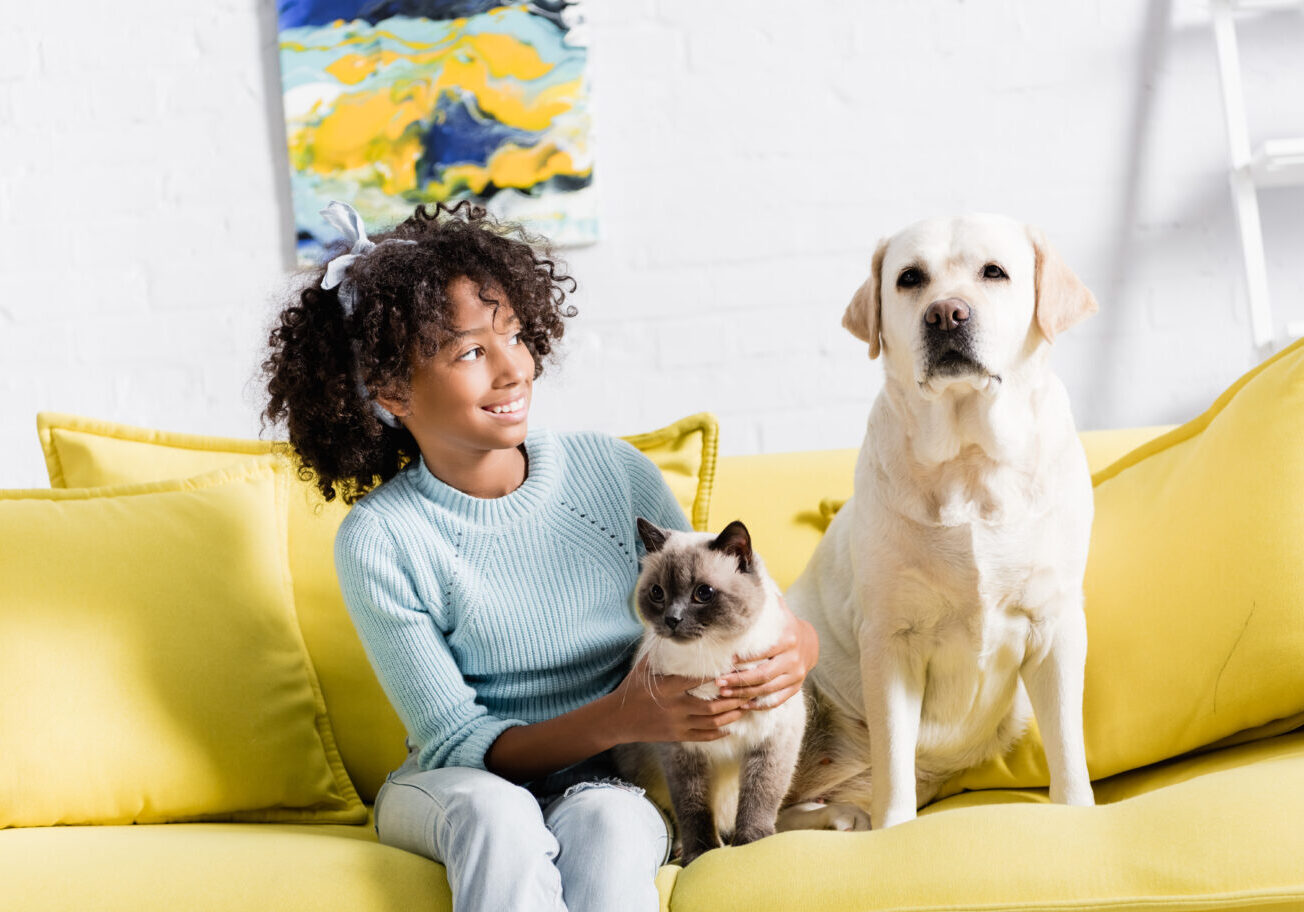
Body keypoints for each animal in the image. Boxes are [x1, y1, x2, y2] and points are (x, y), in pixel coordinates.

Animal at [612, 521, 803, 861]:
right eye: (657, 593)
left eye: (704, 593)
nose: (672, 620)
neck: (712, 661)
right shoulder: (681, 751)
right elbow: (694, 808)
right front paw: (701, 854)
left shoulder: (773, 739)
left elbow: (759, 798)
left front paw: (751, 844)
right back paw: (680, 850)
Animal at [782, 215, 1100, 835]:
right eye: (910, 278)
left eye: (994, 272)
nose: (946, 313)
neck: (969, 463)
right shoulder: (890, 641)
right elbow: (894, 764)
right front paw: (894, 831)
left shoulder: (1055, 625)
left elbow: (1068, 748)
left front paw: (1079, 811)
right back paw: (841, 818)